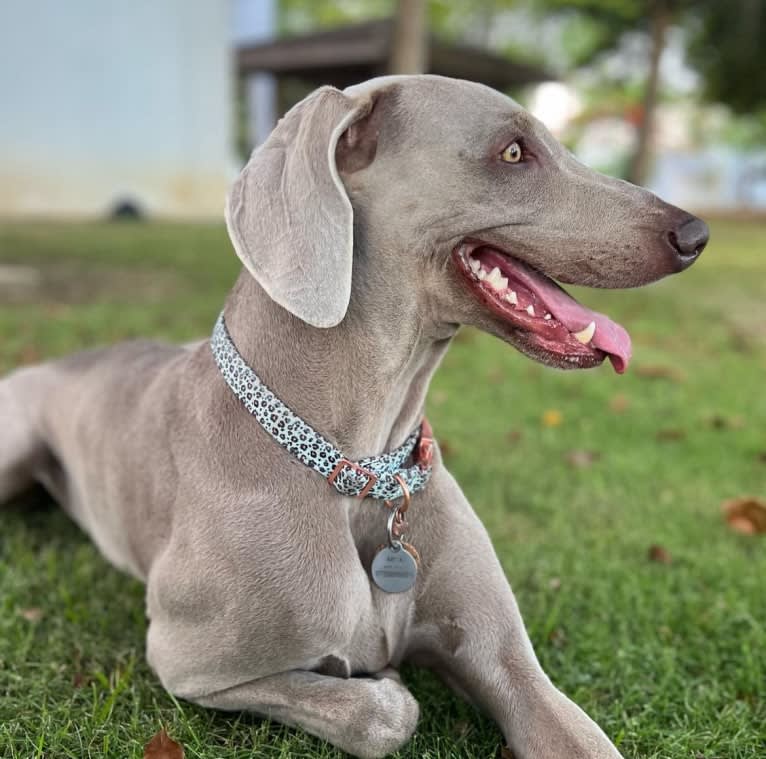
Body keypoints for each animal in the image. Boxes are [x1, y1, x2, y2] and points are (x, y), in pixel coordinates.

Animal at [0, 77, 708, 759]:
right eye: (513, 152)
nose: (695, 235)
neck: (363, 468)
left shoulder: (509, 662)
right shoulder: (188, 661)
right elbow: (382, 714)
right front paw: (385, 685)